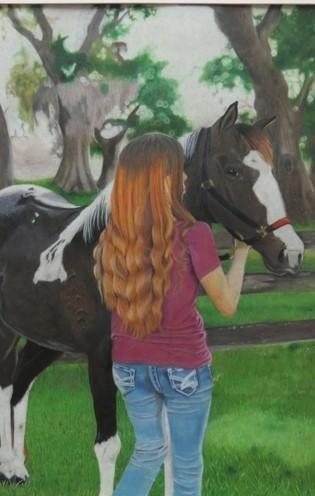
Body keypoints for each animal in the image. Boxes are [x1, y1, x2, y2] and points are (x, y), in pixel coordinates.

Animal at [0, 101, 304, 496]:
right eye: (233, 170)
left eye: (271, 170)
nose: (291, 253)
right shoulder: (101, 357)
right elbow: (108, 446)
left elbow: (170, 445)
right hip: (8, 333)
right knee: (6, 385)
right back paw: (8, 468)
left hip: (45, 338)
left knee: (19, 385)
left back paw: (17, 469)